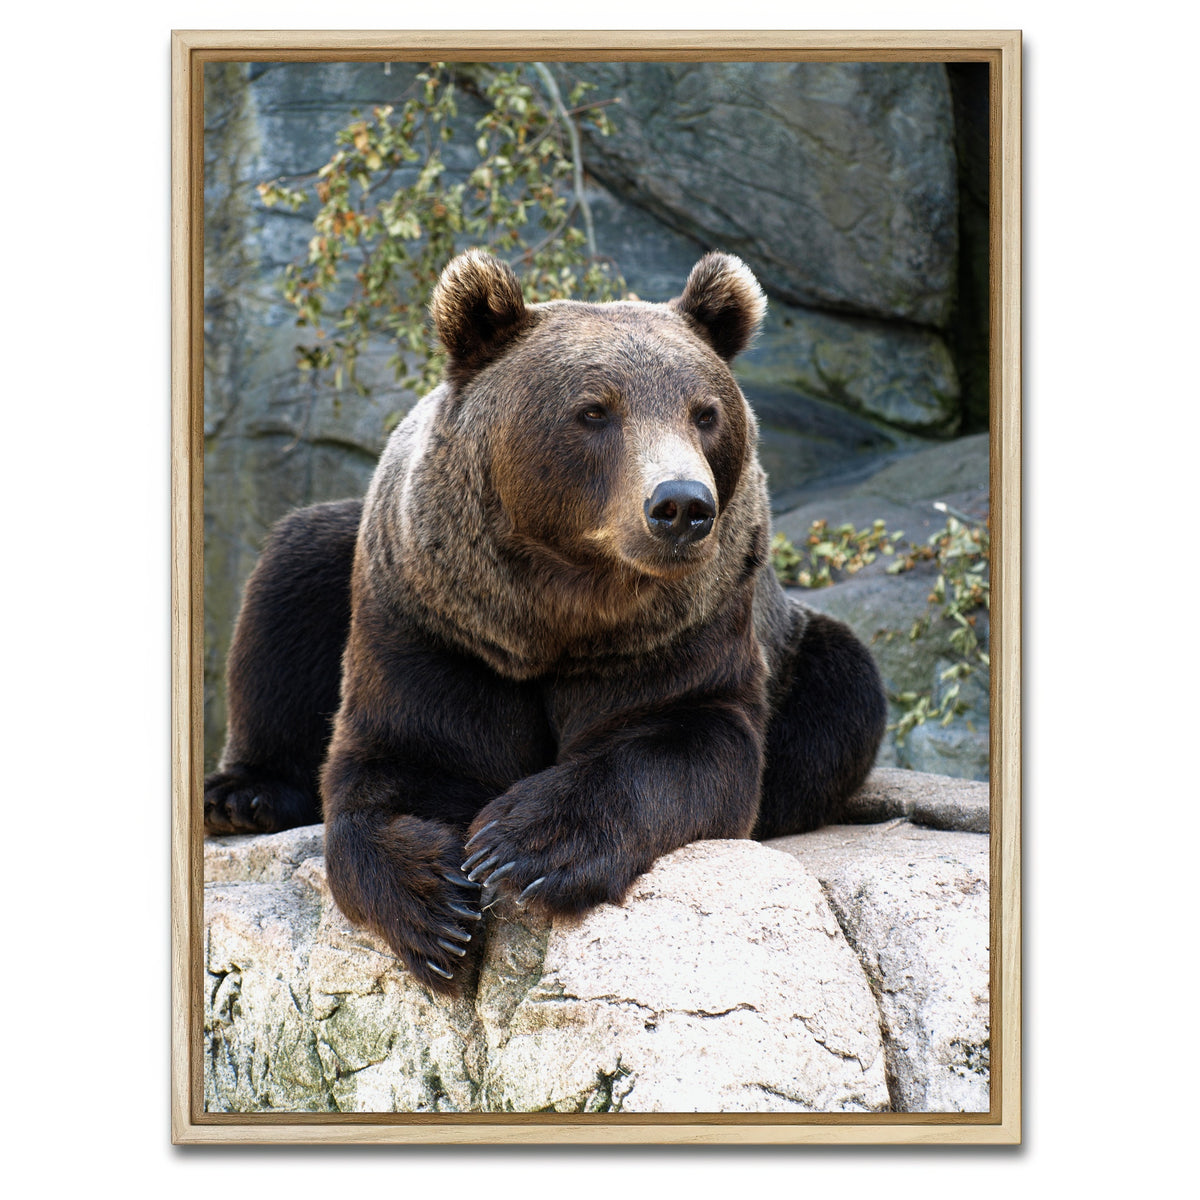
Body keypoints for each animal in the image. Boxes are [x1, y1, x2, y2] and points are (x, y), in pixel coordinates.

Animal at [204, 249, 887, 995]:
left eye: (705, 413)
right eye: (594, 410)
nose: (681, 504)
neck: (556, 612)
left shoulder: (679, 632)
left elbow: (688, 742)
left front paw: (523, 845)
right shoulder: (435, 623)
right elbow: (400, 758)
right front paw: (435, 907)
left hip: (796, 649)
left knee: (842, 693)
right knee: (292, 574)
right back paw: (243, 795)